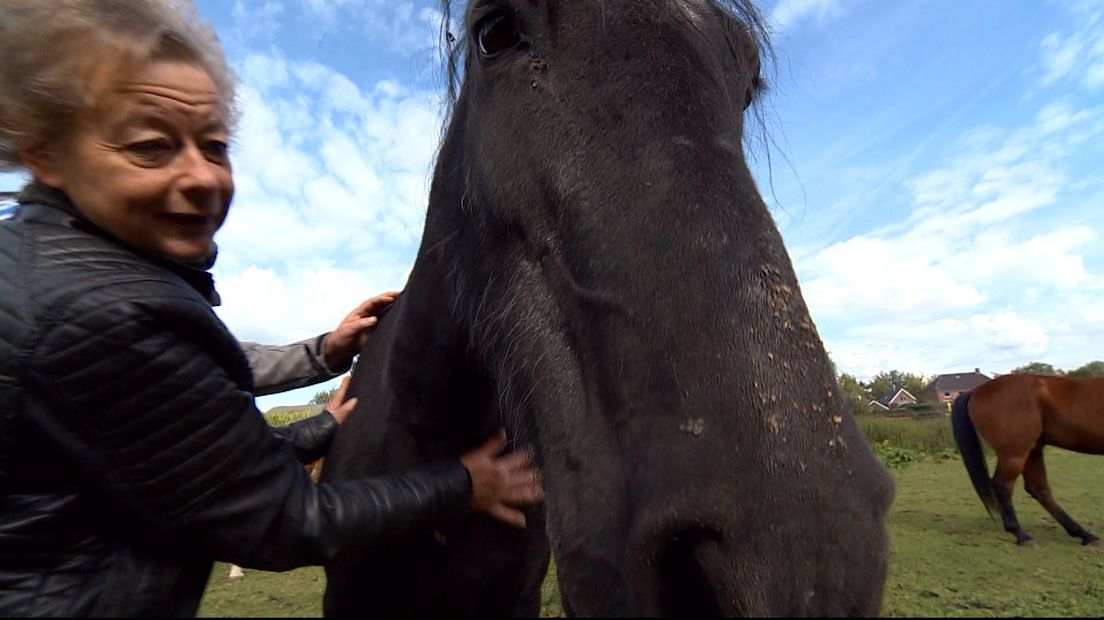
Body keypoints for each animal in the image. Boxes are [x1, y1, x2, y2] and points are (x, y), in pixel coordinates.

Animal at [949, 368, 1104, 542]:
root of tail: (974, 391)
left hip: (1032, 451)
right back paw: (1020, 534)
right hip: (1015, 454)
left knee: (1039, 489)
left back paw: (1084, 534)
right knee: (1003, 485)